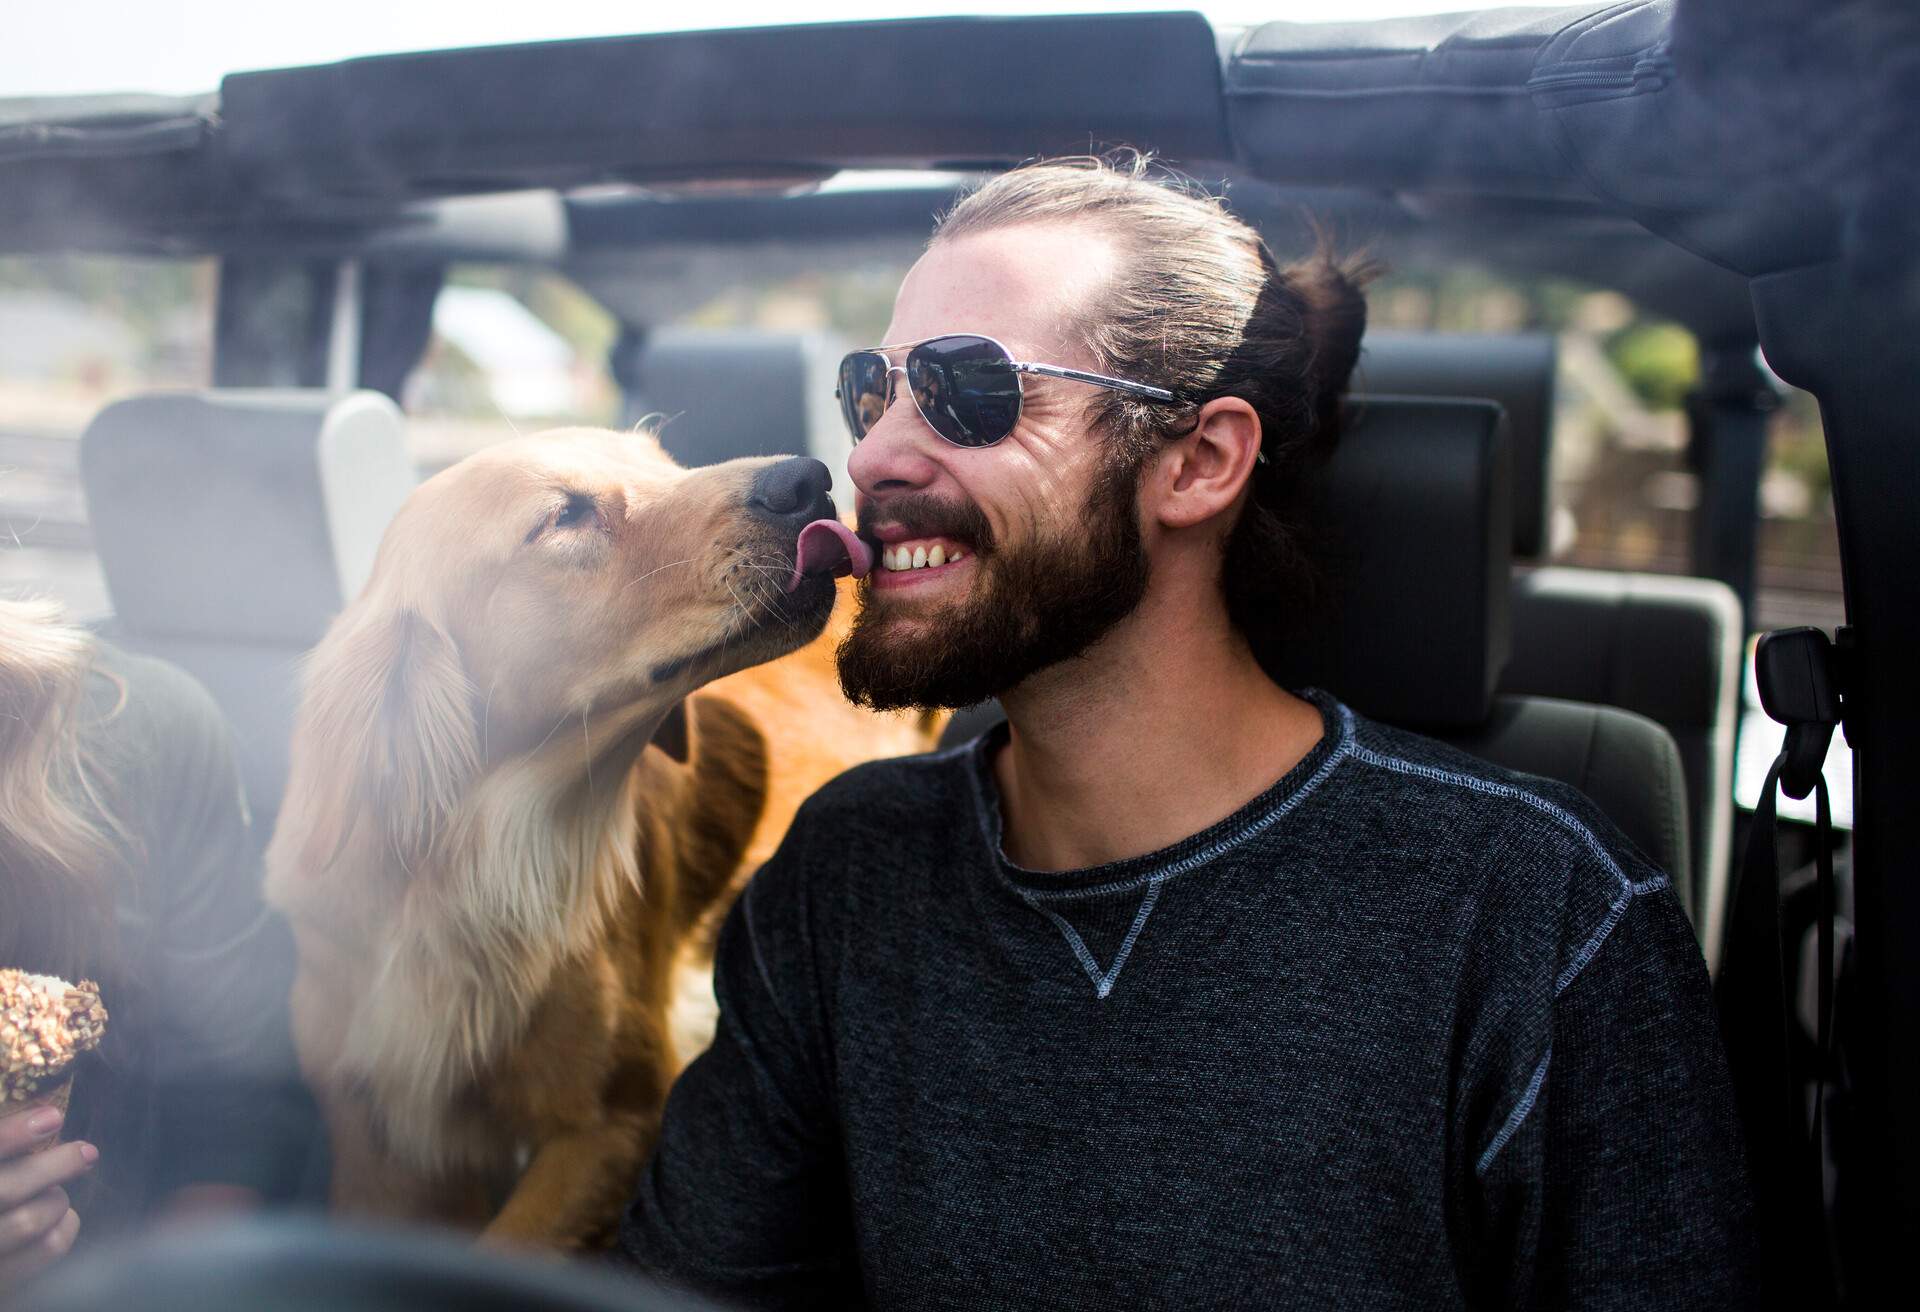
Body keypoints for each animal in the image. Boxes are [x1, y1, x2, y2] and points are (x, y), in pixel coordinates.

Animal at [263, 430, 936, 1252]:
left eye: (665, 463)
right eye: (564, 516)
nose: (810, 481)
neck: (468, 871)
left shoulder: (617, 1119)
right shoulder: (382, 1148)